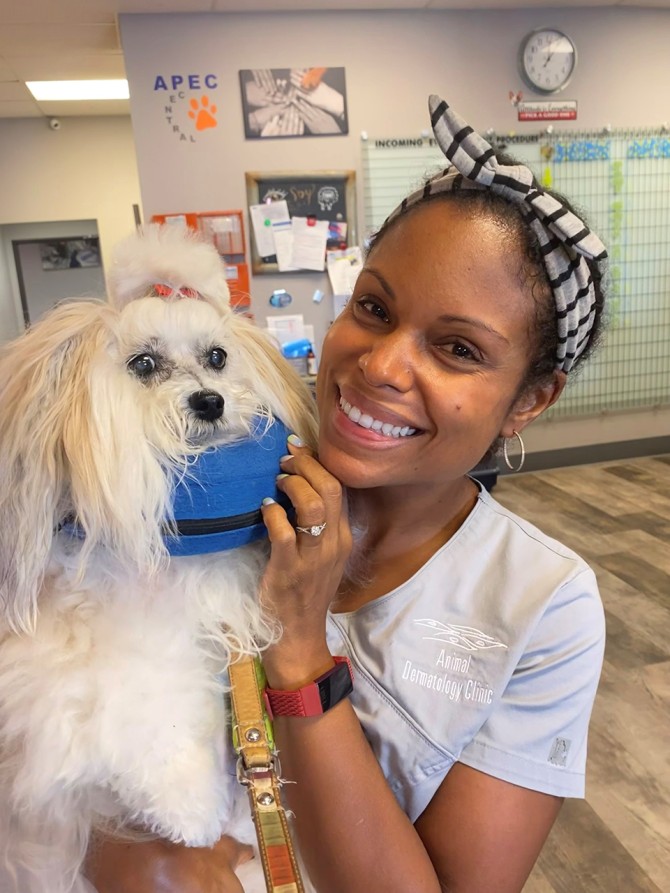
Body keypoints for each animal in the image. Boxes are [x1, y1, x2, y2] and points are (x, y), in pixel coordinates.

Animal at [0, 228, 318, 892]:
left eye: (217, 357)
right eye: (143, 365)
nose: (209, 401)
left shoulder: (215, 627)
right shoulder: (78, 669)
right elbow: (146, 717)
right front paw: (192, 812)